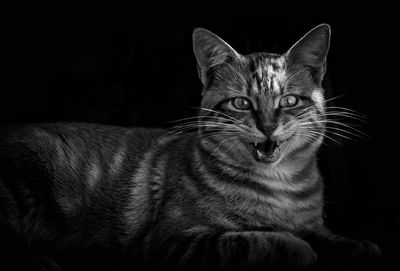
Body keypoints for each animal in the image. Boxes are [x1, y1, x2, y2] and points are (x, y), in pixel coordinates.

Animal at [0, 24, 382, 270]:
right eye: (241, 103)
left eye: (289, 100)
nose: (267, 126)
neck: (282, 189)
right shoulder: (174, 241)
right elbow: (256, 239)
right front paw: (299, 248)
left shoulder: (314, 224)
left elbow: (328, 236)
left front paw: (357, 245)